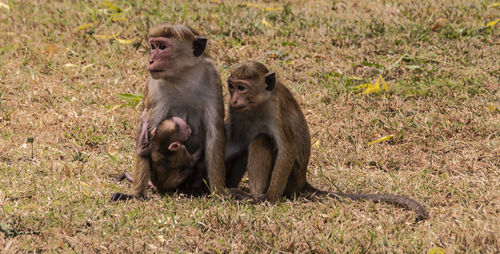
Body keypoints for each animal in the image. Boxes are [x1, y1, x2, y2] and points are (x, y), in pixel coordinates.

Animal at [112, 24, 227, 201]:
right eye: (153, 46)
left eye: (162, 47)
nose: (151, 60)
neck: (182, 76)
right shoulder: (156, 86)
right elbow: (148, 135)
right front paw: (136, 195)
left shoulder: (212, 77)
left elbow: (214, 133)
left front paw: (219, 194)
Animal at [225, 61, 428, 220]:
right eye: (231, 87)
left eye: (241, 87)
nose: (234, 99)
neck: (259, 102)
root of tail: (303, 181)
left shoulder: (276, 109)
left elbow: (288, 149)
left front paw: (269, 199)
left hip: (292, 177)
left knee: (260, 140)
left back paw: (255, 196)